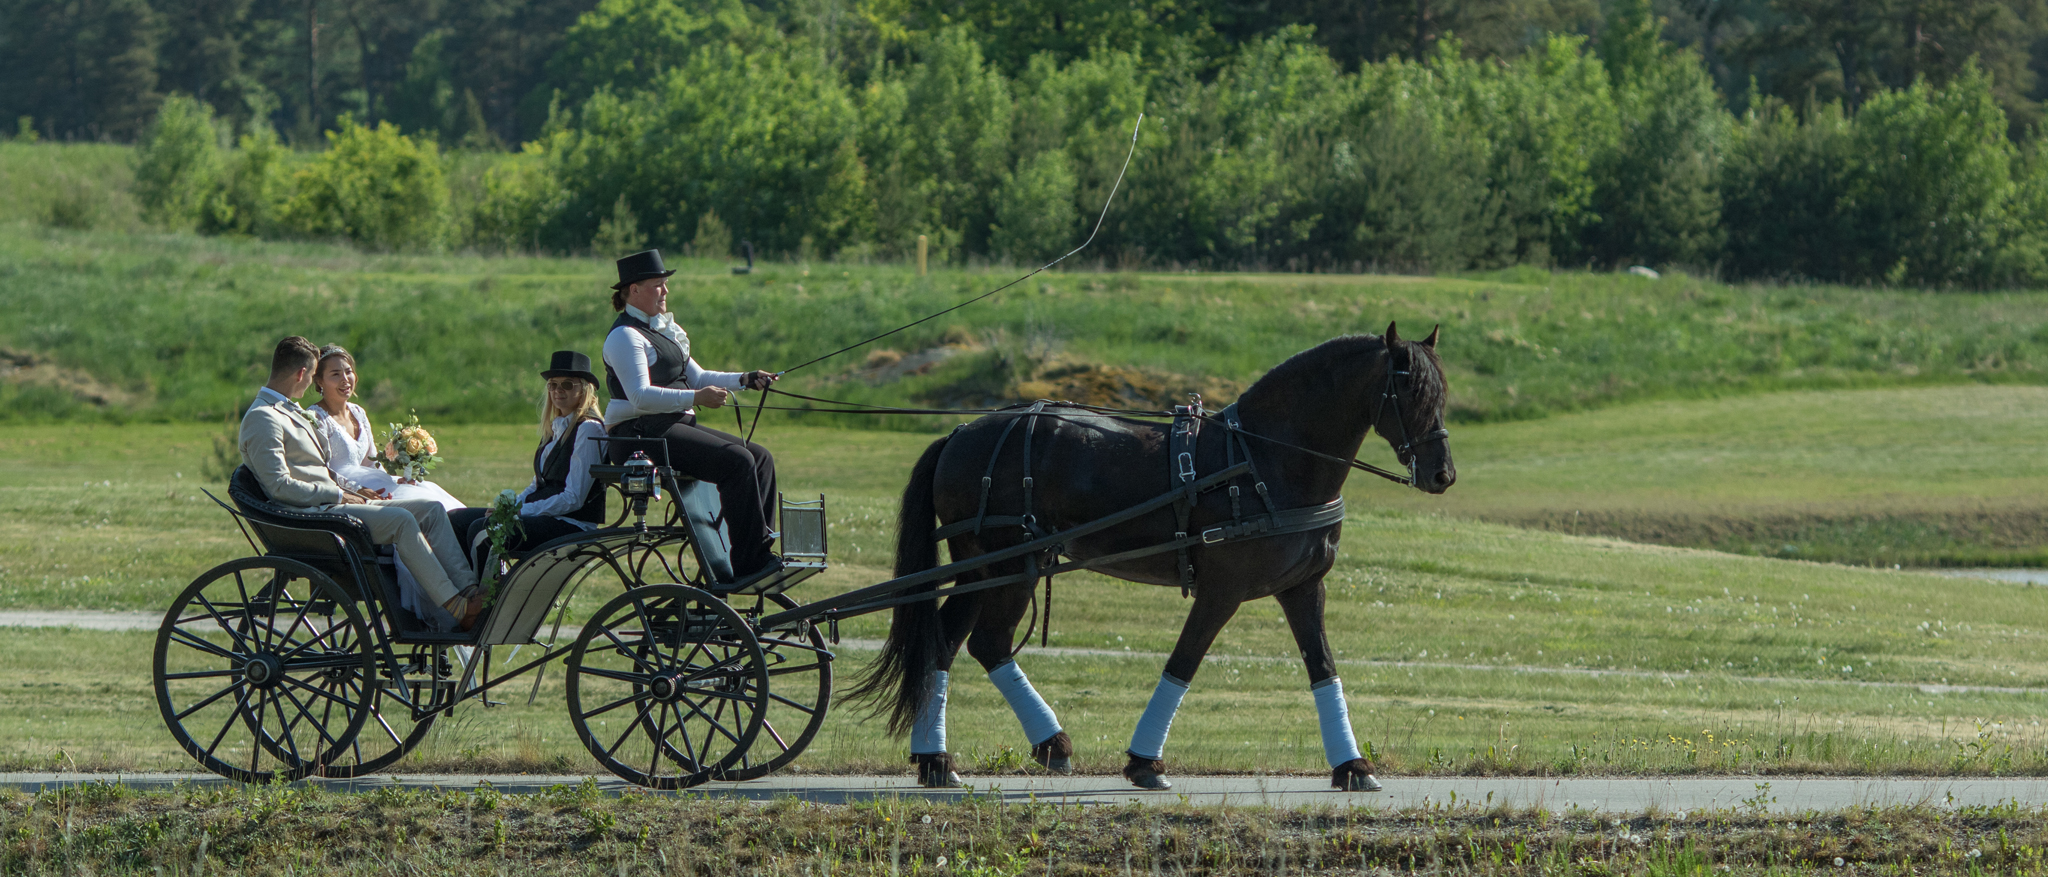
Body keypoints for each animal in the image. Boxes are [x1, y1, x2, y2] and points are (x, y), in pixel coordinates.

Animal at [847, 325, 1458, 790]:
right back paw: (1040, 744)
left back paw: (938, 759)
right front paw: (1145, 761)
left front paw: (1352, 766)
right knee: (986, 644)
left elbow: (1323, 667)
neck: (1263, 459)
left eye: (1442, 393)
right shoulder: (1222, 590)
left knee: (946, 644)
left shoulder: (1304, 586)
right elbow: (1183, 662)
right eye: (1409, 392)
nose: (1442, 474)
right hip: (1005, 565)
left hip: (981, 568)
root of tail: (958, 431)